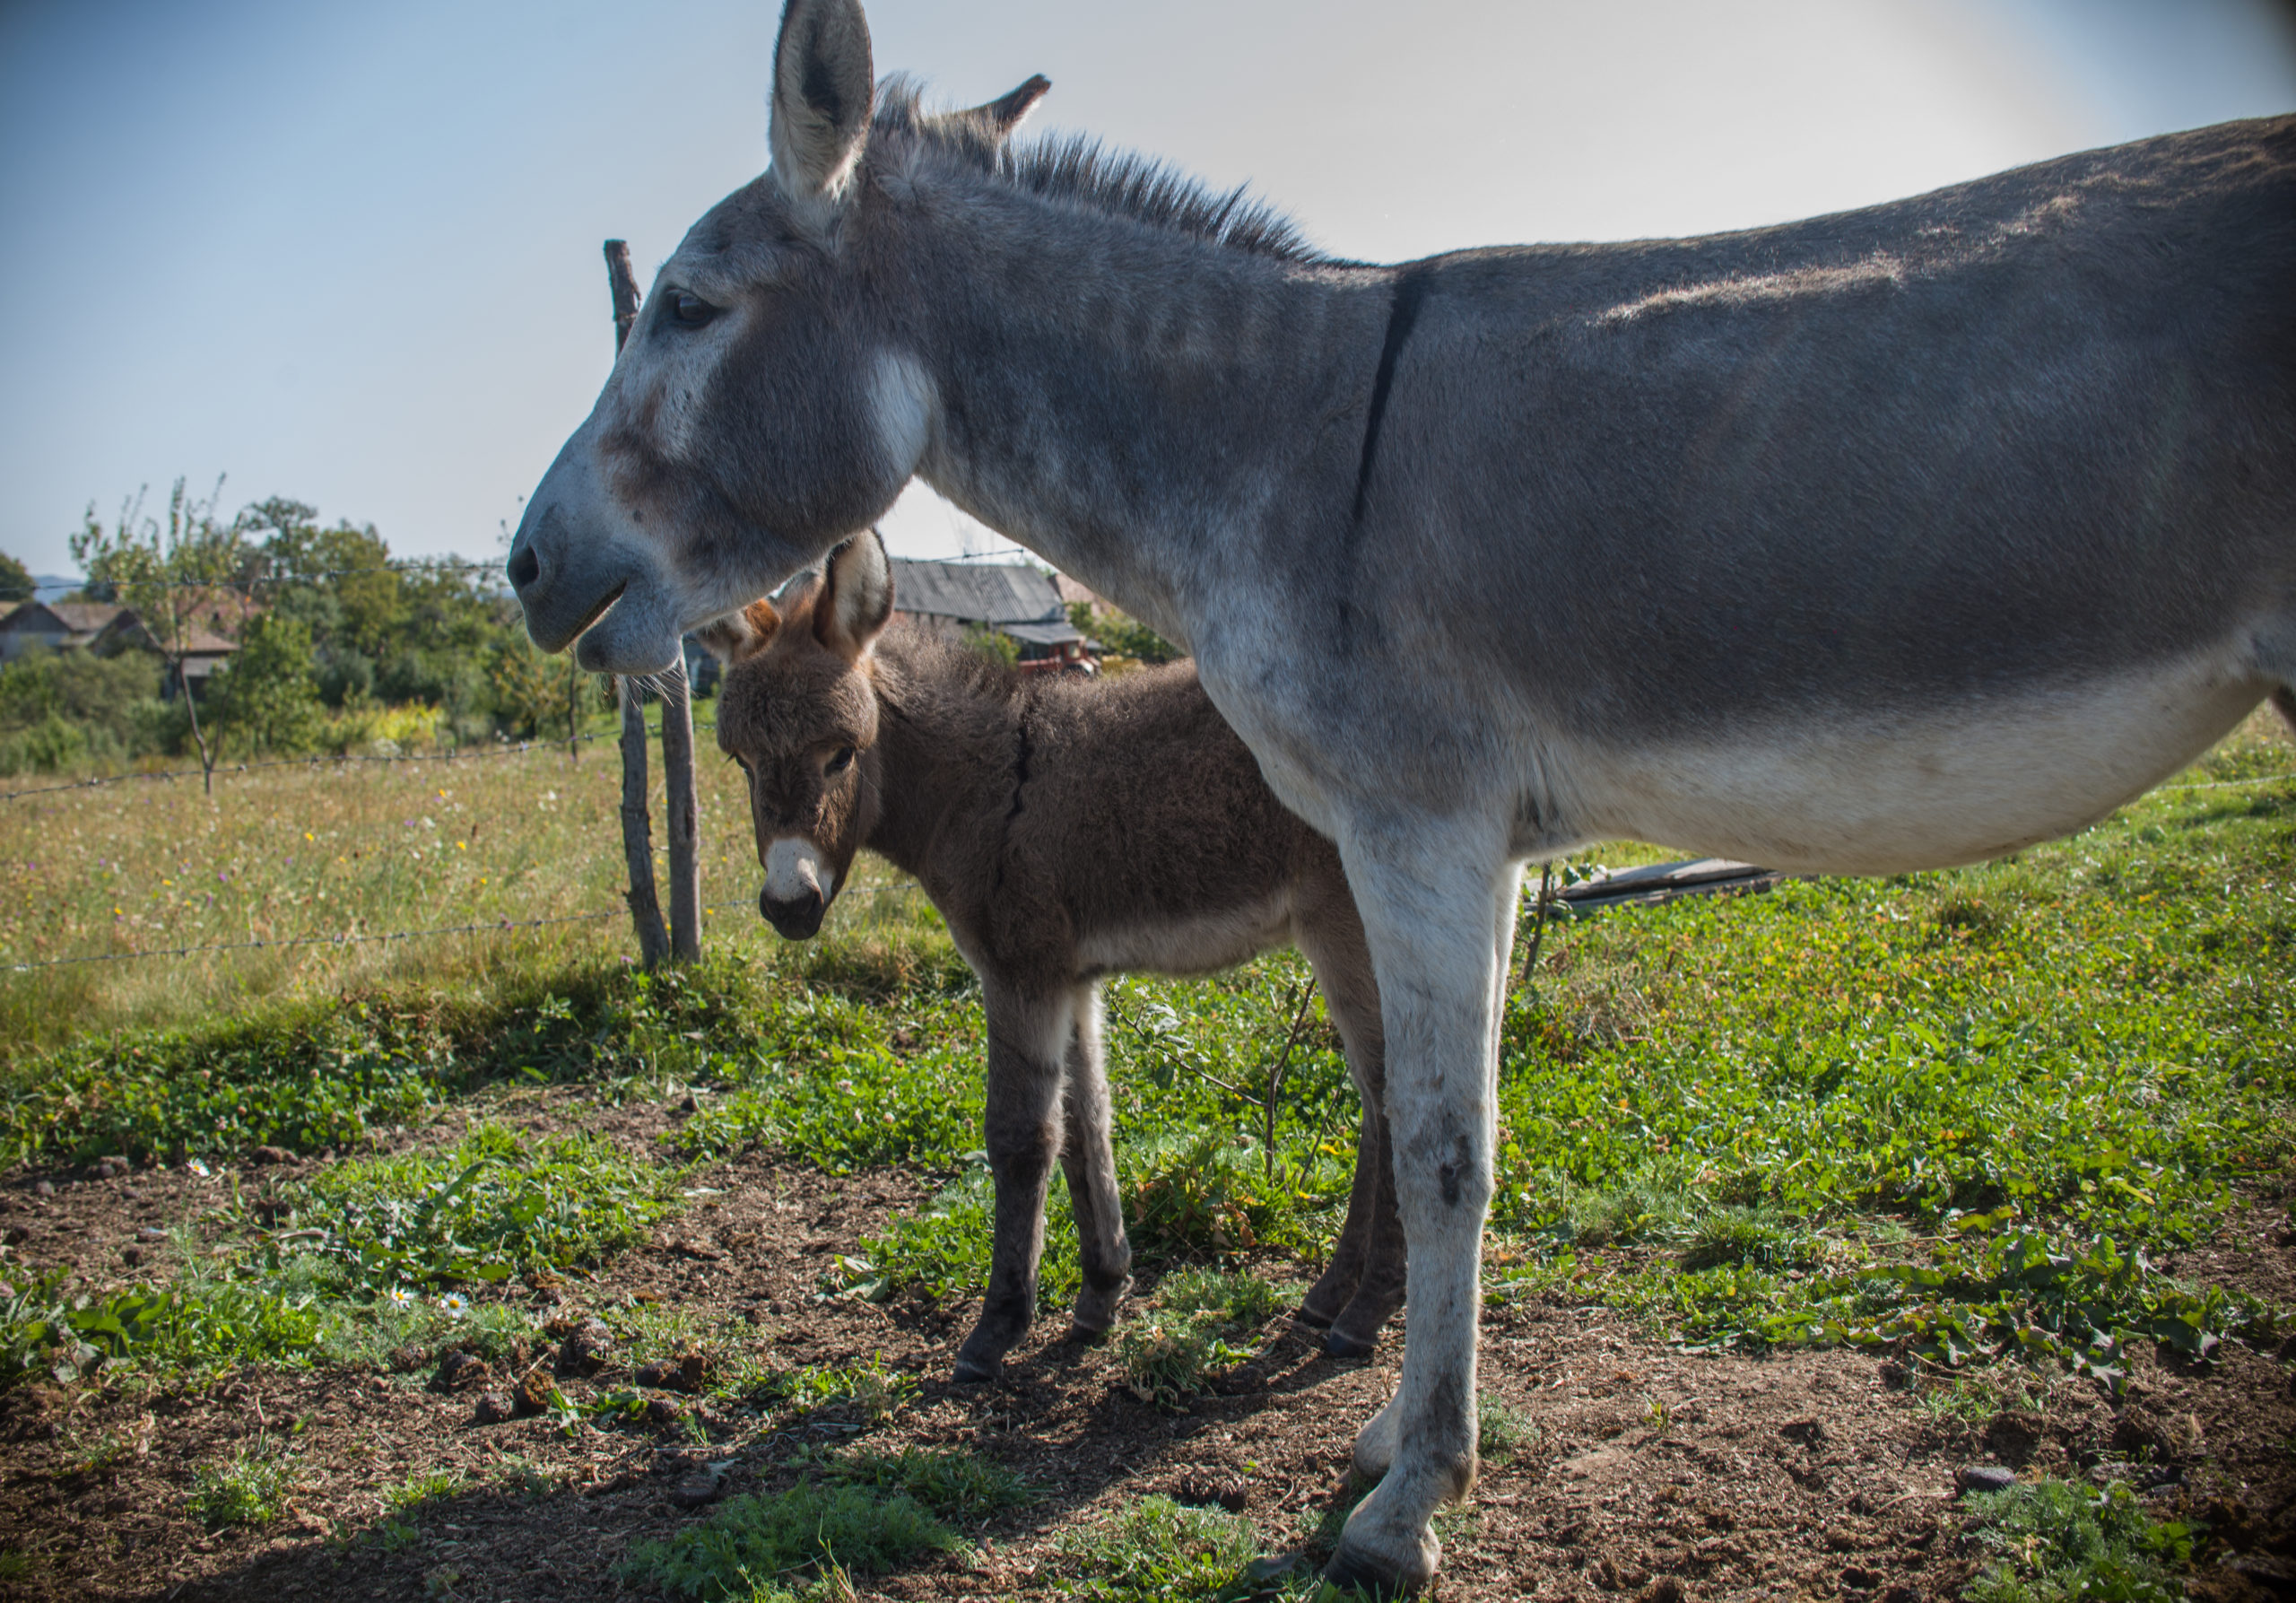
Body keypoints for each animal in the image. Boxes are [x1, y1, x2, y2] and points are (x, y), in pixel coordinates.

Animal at [702, 532, 1396, 1378]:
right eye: (741, 760)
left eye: (842, 755)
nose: (788, 905)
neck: (981, 786)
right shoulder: (1069, 976)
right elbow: (1085, 1121)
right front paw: (1101, 1293)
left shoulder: (1018, 972)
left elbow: (1020, 1137)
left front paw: (999, 1322)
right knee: (1380, 1103)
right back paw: (1332, 1293)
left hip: (1348, 925)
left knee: (1398, 1099)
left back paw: (1365, 1311)